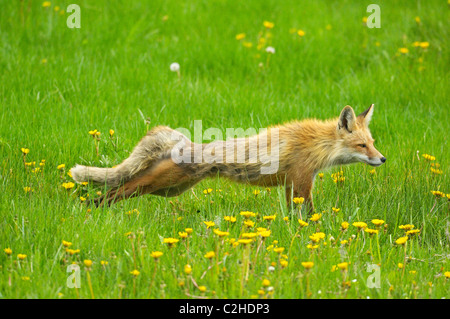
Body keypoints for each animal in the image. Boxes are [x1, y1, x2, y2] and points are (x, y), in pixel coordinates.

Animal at [71, 104, 386, 211]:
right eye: (362, 146)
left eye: (372, 144)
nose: (383, 159)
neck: (318, 144)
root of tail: (184, 142)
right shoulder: (301, 180)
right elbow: (309, 213)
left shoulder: (291, 184)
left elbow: (291, 213)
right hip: (156, 185)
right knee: (113, 191)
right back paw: (91, 209)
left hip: (169, 190)